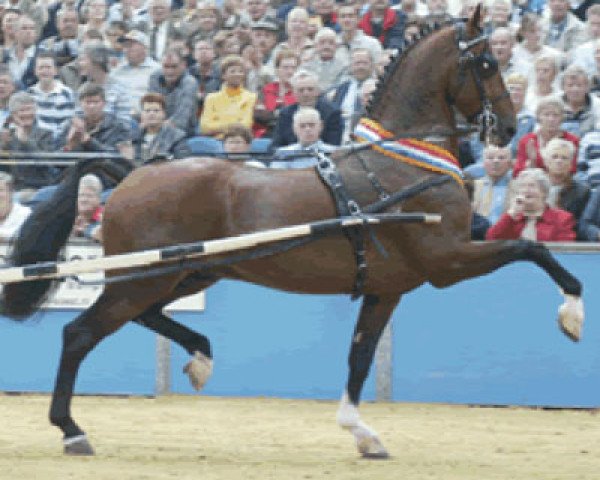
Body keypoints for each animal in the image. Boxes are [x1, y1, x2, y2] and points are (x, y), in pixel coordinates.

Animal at [0, 6, 584, 458]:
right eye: (486, 62)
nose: (506, 128)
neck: (401, 163)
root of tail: (133, 173)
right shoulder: (448, 260)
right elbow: (531, 247)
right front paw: (573, 314)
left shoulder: (386, 288)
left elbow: (360, 357)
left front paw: (362, 433)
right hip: (147, 277)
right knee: (79, 334)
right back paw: (71, 429)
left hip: (184, 272)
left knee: (143, 317)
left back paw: (199, 357)